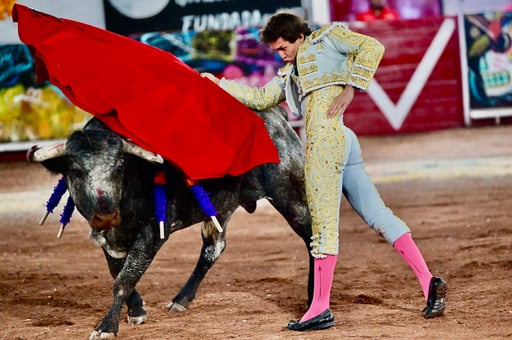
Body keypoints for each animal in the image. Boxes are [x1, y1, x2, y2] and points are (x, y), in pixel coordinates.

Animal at [29, 105, 316, 338]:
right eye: (75, 171)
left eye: (119, 167)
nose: (106, 213)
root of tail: (276, 117)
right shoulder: (107, 237)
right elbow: (118, 271)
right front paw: (136, 310)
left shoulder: (153, 232)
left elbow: (124, 278)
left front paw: (106, 327)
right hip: (221, 206)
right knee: (213, 249)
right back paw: (181, 299)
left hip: (291, 197)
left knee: (312, 237)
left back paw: (312, 301)